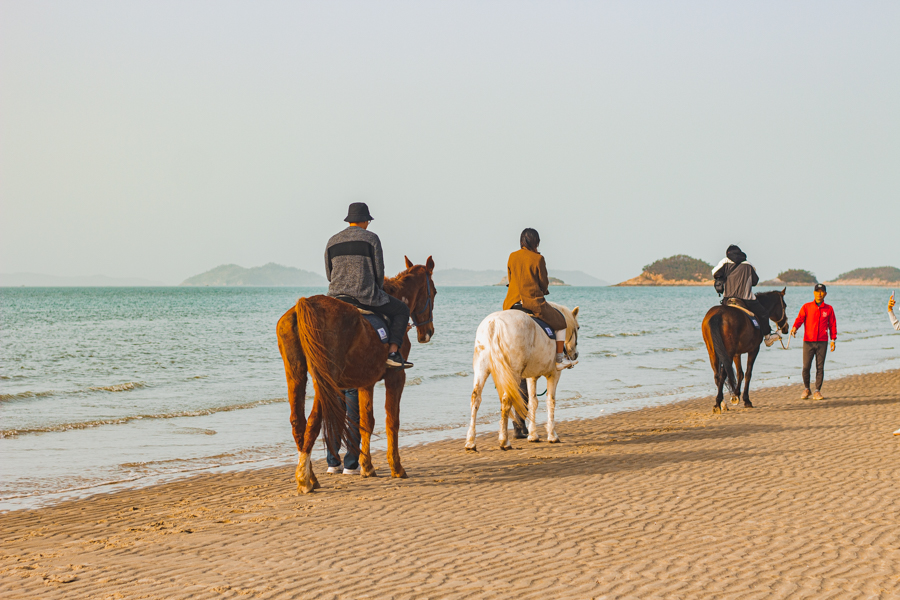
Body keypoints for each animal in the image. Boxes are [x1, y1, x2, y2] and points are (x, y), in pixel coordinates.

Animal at [278, 255, 440, 494]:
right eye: (434, 291)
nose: (427, 332)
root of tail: (305, 304)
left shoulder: (365, 382)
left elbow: (366, 422)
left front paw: (367, 467)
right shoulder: (396, 377)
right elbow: (392, 420)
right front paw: (396, 467)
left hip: (296, 375)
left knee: (298, 422)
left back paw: (310, 476)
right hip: (325, 381)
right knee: (314, 420)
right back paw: (304, 479)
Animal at [468, 304, 580, 450]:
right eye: (578, 328)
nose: (575, 354)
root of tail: (494, 323)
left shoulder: (531, 377)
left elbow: (532, 402)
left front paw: (533, 435)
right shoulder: (554, 375)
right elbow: (550, 401)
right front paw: (552, 435)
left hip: (481, 369)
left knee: (476, 398)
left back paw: (470, 442)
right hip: (513, 374)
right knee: (506, 401)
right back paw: (504, 441)